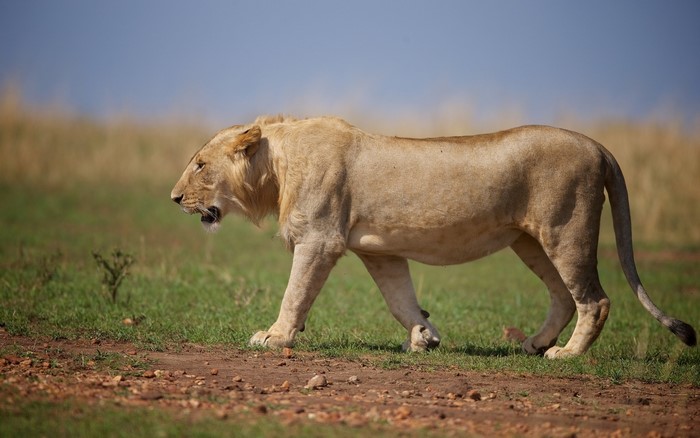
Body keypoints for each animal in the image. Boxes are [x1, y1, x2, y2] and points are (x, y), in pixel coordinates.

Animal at [171, 115, 696, 358]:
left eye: (199, 164)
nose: (174, 199)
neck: (275, 166)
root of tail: (599, 145)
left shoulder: (319, 239)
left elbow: (294, 294)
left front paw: (274, 336)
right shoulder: (378, 251)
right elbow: (401, 299)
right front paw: (424, 337)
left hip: (567, 231)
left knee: (595, 299)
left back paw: (566, 354)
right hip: (528, 241)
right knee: (564, 296)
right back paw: (534, 344)